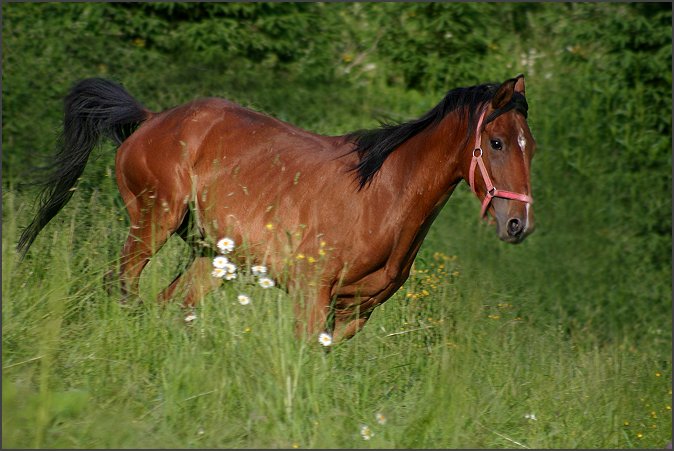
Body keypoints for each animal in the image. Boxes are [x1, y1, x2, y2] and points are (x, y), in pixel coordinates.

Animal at [17, 75, 536, 342]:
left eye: (530, 147)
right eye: (495, 142)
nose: (518, 224)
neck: (379, 196)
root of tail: (151, 119)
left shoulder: (356, 313)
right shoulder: (312, 296)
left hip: (211, 257)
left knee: (171, 305)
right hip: (152, 223)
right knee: (122, 284)